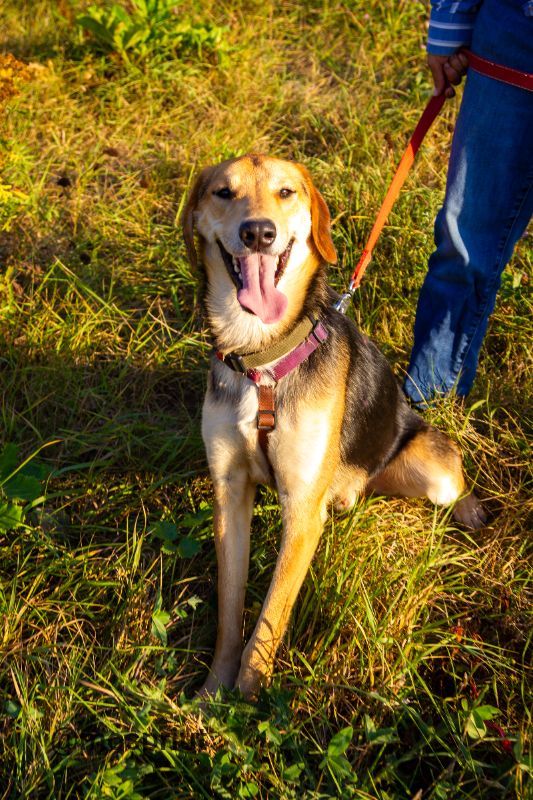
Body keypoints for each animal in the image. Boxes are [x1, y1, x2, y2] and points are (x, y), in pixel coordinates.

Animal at [183, 155, 486, 700]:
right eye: (222, 192)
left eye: (285, 192)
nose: (258, 233)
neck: (262, 358)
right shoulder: (230, 491)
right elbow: (229, 612)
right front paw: (212, 694)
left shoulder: (302, 509)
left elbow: (269, 620)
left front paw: (245, 701)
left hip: (431, 468)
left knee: (455, 481)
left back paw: (470, 510)